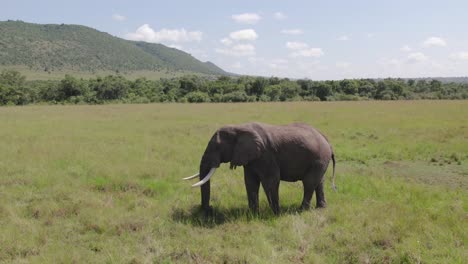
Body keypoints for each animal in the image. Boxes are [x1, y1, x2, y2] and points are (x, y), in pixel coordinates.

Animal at [181, 121, 334, 214]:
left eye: (217, 147)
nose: (209, 209)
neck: (238, 128)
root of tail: (327, 140)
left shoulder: (266, 155)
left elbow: (270, 181)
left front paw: (275, 214)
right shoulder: (250, 158)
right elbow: (250, 182)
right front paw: (253, 214)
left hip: (318, 158)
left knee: (308, 183)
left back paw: (301, 210)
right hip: (320, 161)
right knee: (319, 182)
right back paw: (321, 208)